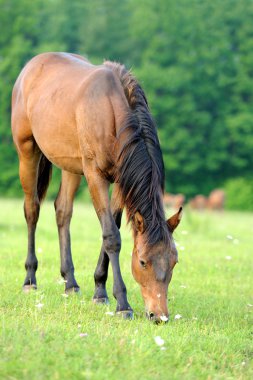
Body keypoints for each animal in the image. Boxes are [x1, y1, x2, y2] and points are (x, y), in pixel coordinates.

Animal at [11, 52, 182, 322]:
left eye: (174, 261)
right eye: (143, 262)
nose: (159, 316)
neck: (110, 111)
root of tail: (32, 65)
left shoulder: (121, 182)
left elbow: (112, 227)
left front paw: (99, 290)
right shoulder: (95, 175)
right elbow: (111, 236)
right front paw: (122, 303)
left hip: (70, 166)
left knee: (63, 212)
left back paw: (70, 283)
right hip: (27, 151)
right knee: (32, 210)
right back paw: (30, 279)